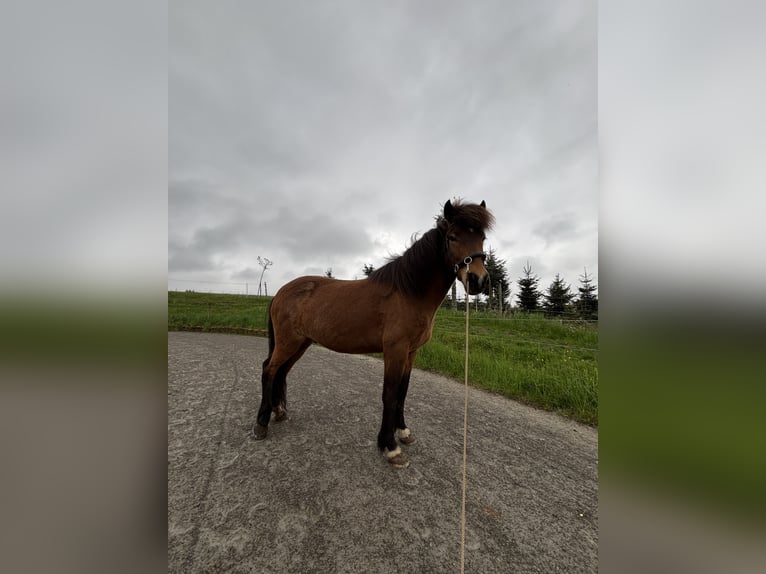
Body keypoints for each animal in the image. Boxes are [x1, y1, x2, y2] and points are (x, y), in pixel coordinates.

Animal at [253, 199, 495, 467]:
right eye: (452, 237)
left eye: (482, 238)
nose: (477, 280)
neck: (408, 292)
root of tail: (281, 291)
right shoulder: (395, 350)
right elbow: (389, 394)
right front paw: (390, 447)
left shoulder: (411, 352)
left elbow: (402, 392)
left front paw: (403, 432)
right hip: (288, 342)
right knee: (269, 369)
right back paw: (261, 424)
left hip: (300, 343)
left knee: (281, 371)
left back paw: (278, 412)